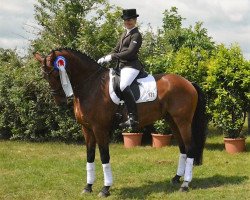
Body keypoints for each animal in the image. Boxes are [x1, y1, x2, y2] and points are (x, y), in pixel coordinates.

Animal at [34, 48, 208, 197]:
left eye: (55, 73)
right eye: (44, 76)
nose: (60, 101)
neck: (91, 85)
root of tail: (188, 82)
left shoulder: (99, 128)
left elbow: (104, 156)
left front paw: (105, 188)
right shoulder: (87, 128)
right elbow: (90, 155)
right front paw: (88, 187)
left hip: (183, 121)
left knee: (190, 147)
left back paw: (185, 184)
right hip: (172, 121)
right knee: (182, 148)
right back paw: (176, 178)